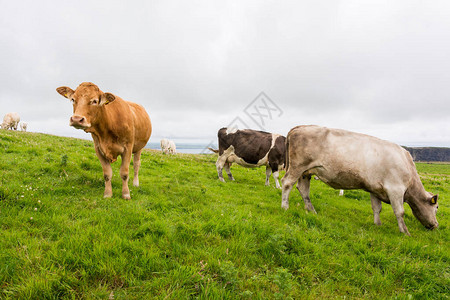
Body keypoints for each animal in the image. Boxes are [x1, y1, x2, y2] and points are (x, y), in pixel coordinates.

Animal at [282, 125, 440, 236]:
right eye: (436, 207)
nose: (436, 225)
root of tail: (300, 127)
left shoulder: (375, 189)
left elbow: (377, 208)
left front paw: (378, 225)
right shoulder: (395, 189)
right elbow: (399, 211)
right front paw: (405, 232)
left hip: (306, 172)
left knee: (303, 190)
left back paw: (311, 210)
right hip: (297, 166)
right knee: (287, 183)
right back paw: (285, 206)